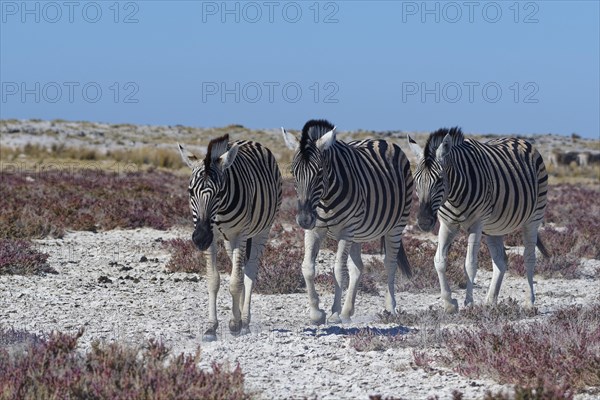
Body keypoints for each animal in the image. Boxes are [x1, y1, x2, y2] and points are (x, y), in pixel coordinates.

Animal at [177, 135, 282, 340]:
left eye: (219, 192)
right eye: (190, 192)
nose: (200, 238)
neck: (219, 213)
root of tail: (251, 141)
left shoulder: (240, 234)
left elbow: (235, 282)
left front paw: (235, 323)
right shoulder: (213, 238)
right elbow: (214, 280)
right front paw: (211, 327)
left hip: (261, 231)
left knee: (249, 273)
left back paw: (245, 321)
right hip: (228, 241)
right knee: (239, 269)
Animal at [282, 119, 412, 324]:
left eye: (319, 172)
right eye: (293, 172)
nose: (303, 219)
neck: (325, 198)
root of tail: (380, 140)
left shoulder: (346, 230)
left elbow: (338, 270)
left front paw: (334, 313)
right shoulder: (314, 230)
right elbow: (308, 268)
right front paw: (317, 313)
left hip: (396, 226)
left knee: (390, 263)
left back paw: (390, 308)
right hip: (358, 234)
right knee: (358, 268)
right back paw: (347, 312)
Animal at [408, 128, 548, 312]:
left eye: (439, 180)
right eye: (415, 181)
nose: (424, 222)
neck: (453, 195)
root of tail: (520, 140)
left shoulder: (476, 224)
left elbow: (470, 264)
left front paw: (468, 303)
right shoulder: (447, 225)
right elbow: (439, 261)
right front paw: (449, 303)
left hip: (533, 218)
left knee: (529, 257)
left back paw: (529, 302)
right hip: (494, 227)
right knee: (501, 261)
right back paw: (490, 301)